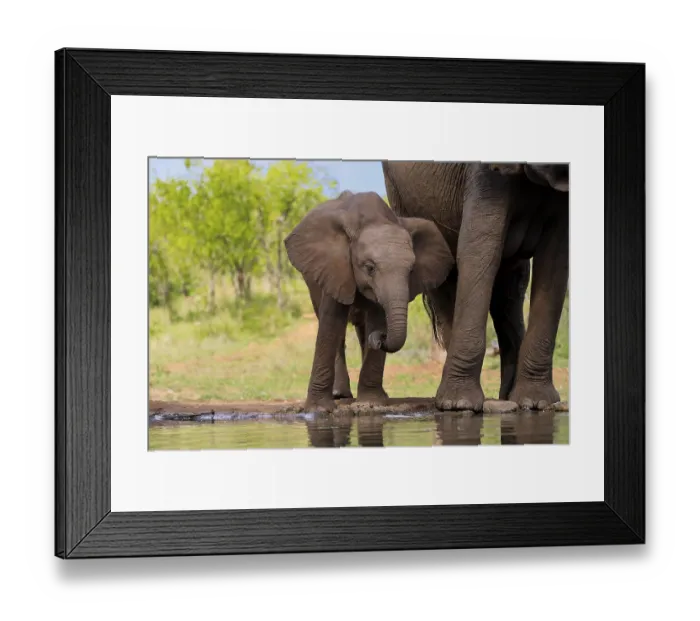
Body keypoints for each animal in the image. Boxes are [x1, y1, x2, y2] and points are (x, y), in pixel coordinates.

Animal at [285, 190, 454, 413]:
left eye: (411, 270)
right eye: (369, 268)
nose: (380, 337)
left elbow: (376, 317)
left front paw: (371, 403)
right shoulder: (335, 267)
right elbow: (331, 323)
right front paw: (319, 410)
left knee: (362, 329)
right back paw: (340, 395)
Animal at [382, 161, 569, 412]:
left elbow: (555, 259)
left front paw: (536, 402)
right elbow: (480, 250)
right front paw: (459, 404)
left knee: (510, 289)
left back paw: (509, 397)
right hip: (400, 196)